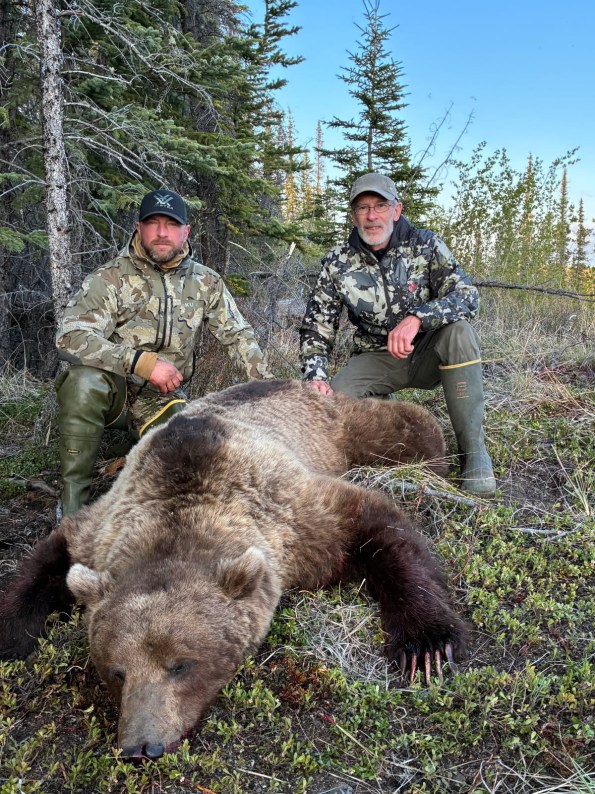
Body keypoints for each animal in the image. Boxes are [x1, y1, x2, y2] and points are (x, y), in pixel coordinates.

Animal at [0, 379, 467, 760]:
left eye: (181, 665)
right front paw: (10, 636)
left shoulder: (291, 514)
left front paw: (426, 646)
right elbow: (52, 556)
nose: (141, 746)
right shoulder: (103, 527)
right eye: (116, 671)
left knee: (409, 425)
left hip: (334, 424)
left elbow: (374, 522)